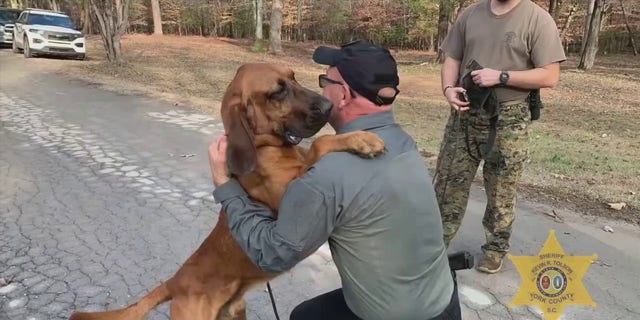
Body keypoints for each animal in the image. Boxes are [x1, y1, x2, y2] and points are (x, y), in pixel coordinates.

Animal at [69, 63, 384, 320]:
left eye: (293, 78)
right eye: (277, 93)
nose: (329, 106)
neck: (265, 147)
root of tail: (175, 281)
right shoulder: (290, 193)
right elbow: (321, 143)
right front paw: (362, 139)